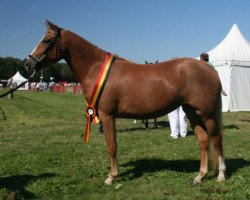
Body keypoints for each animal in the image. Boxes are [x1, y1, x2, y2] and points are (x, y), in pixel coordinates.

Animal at [25, 20, 227, 184]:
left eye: (46, 40)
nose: (28, 63)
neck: (96, 68)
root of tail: (209, 69)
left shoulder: (107, 115)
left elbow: (112, 146)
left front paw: (111, 177)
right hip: (192, 111)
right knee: (203, 140)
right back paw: (199, 176)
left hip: (206, 113)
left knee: (216, 139)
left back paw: (221, 175)